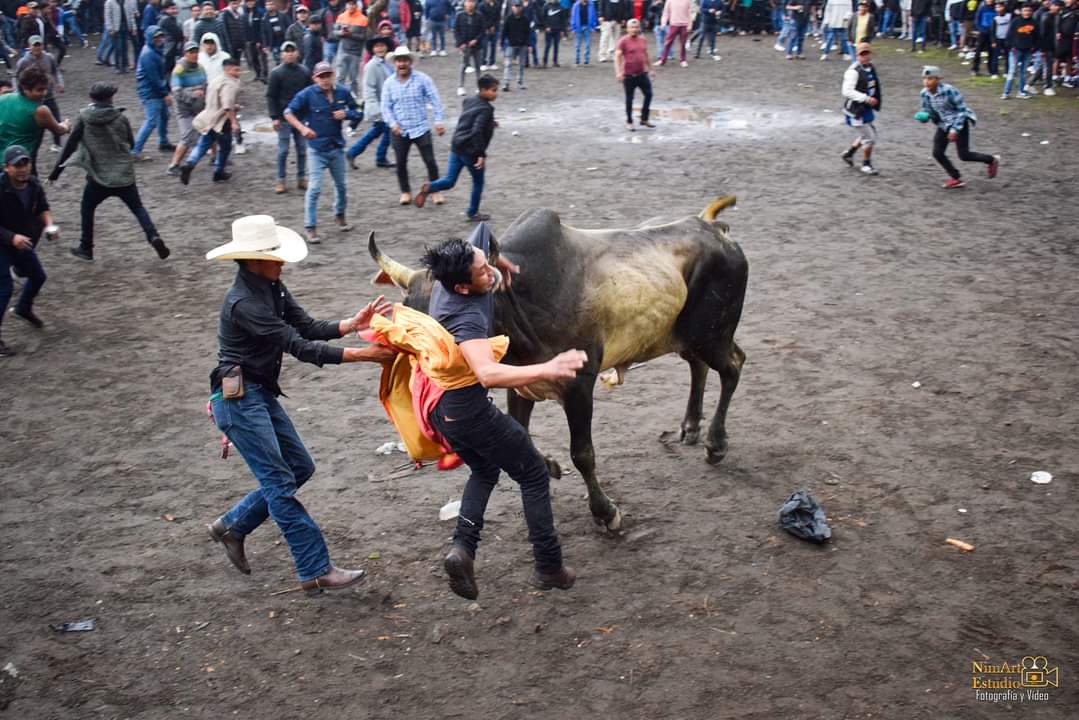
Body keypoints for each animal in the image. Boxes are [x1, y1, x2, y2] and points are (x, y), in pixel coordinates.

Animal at [366, 194, 746, 533]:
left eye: (457, 318)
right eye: (408, 329)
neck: (520, 302)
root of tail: (718, 230)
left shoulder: (579, 384)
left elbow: (583, 453)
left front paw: (605, 512)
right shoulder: (519, 383)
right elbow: (520, 433)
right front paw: (549, 465)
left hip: (711, 334)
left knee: (733, 366)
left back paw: (715, 443)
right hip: (688, 336)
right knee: (699, 365)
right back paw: (691, 427)